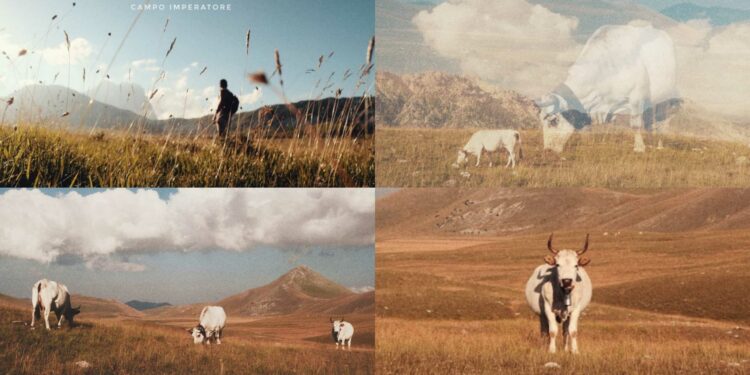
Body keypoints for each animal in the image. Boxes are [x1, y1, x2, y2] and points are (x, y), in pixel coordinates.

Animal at [536, 22, 680, 153]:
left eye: (553, 121)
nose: (547, 149)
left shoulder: (636, 98)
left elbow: (635, 125)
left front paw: (639, 147)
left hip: (663, 98)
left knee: (660, 122)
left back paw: (659, 145)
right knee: (649, 122)